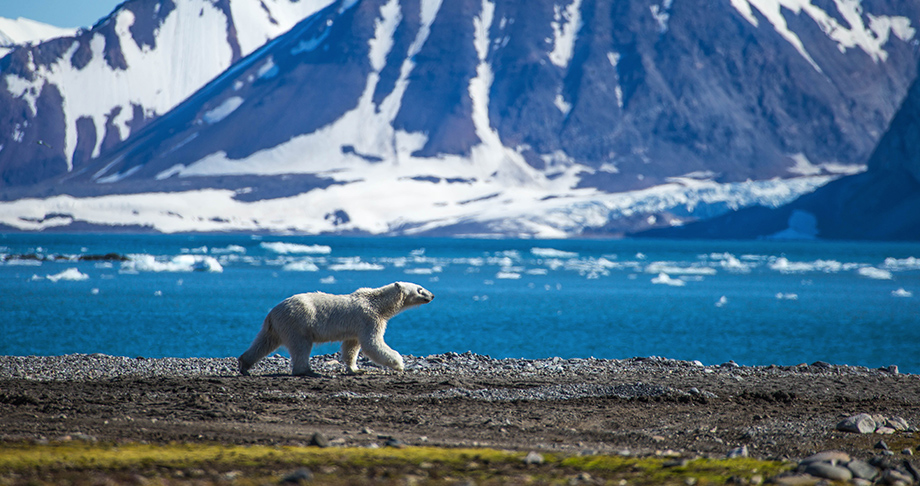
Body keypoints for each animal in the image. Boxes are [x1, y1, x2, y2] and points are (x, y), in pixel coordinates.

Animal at [241, 280, 434, 376]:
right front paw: (399, 364)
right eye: (420, 288)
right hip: (297, 322)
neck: (378, 304)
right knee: (301, 346)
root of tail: (272, 312)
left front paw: (356, 369)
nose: (432, 295)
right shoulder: (369, 319)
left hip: (277, 326)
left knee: (264, 342)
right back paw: (307, 371)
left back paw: (244, 364)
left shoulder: (356, 327)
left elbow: (351, 347)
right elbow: (373, 344)